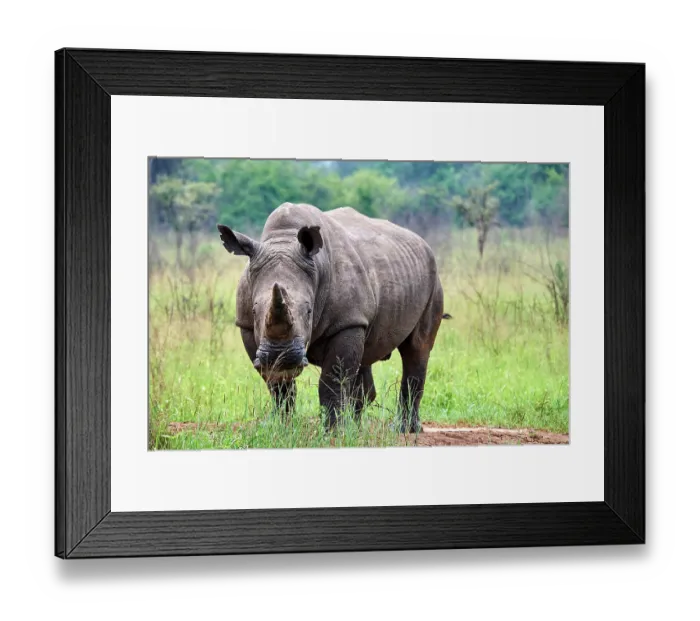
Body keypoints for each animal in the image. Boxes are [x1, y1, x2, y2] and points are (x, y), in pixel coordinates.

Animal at [217, 202, 449, 433]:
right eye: (254, 311)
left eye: (309, 311)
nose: (280, 356)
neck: (284, 238)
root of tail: (422, 242)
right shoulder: (247, 326)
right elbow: (278, 386)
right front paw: (280, 426)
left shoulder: (347, 322)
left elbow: (332, 380)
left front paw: (333, 431)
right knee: (364, 359)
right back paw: (355, 428)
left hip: (433, 280)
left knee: (417, 348)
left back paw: (405, 430)